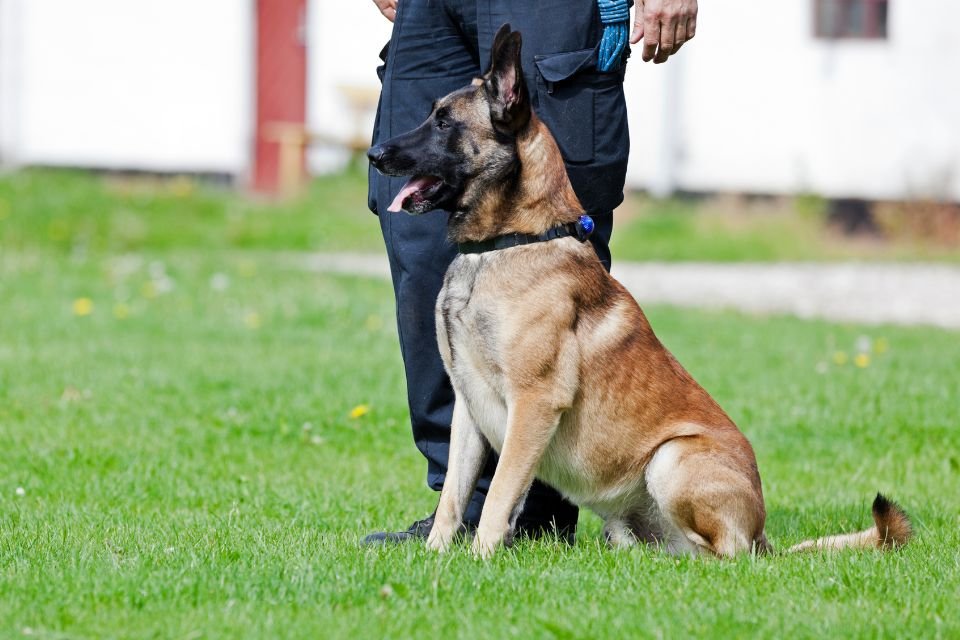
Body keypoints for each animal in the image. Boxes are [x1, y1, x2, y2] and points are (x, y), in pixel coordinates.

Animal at [364, 25, 912, 556]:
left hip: (671, 457)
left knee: (727, 555)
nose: (374, 153)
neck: (510, 241)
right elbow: (454, 496)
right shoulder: (468, 408)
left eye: (443, 123)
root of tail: (764, 536)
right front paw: (437, 557)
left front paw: (480, 559)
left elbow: (499, 493)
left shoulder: (534, 403)